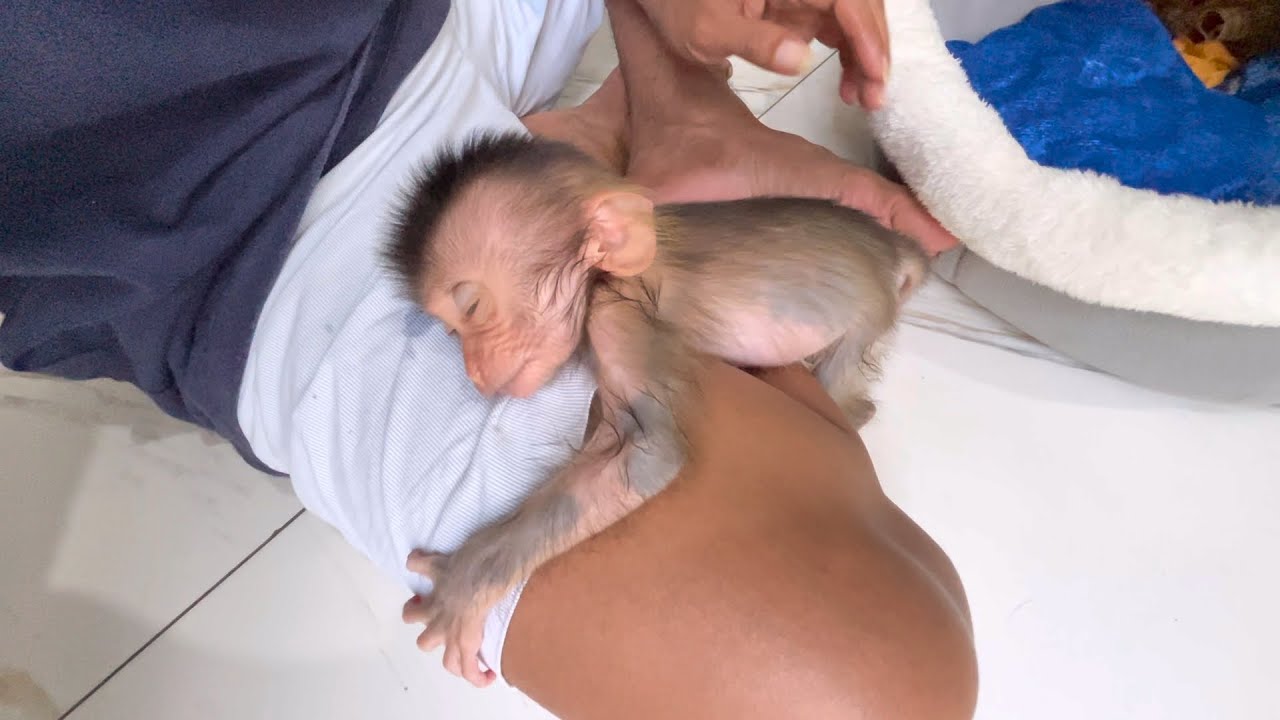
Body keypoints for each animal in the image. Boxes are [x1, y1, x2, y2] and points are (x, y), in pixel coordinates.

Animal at [382, 130, 928, 687]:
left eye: (473, 309)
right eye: (453, 332)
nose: (473, 370)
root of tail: (891, 247)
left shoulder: (616, 312)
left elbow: (652, 449)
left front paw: (467, 581)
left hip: (866, 318)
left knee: (837, 377)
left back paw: (850, 407)